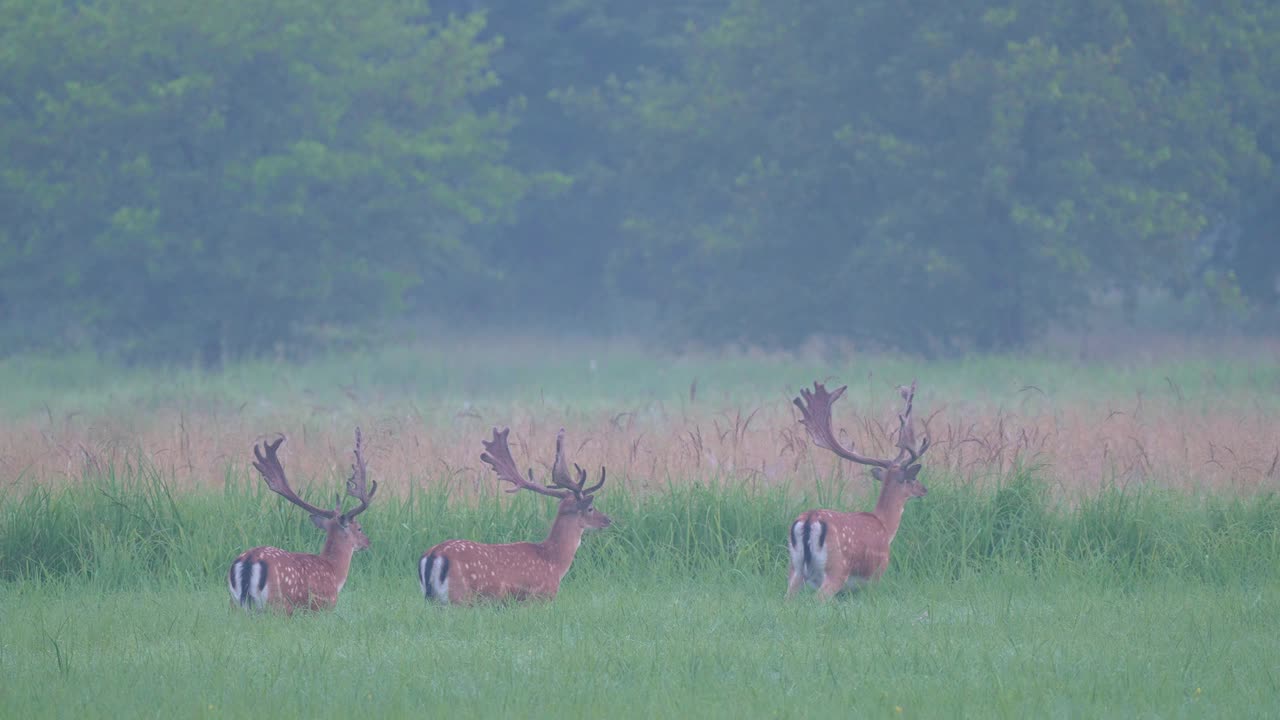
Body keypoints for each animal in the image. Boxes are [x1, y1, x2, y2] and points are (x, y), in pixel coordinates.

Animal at [227, 425, 376, 609]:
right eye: (359, 528)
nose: (368, 542)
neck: (334, 571)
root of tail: (249, 560)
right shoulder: (324, 606)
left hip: (234, 603)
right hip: (278, 604)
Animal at [417, 425, 611, 604]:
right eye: (590, 508)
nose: (608, 519)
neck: (553, 561)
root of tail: (433, 554)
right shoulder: (540, 597)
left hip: (433, 599)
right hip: (460, 596)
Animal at [778, 379, 931, 597]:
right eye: (912, 478)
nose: (924, 489)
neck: (885, 527)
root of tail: (809, 521)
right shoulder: (877, 573)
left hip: (794, 568)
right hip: (837, 569)